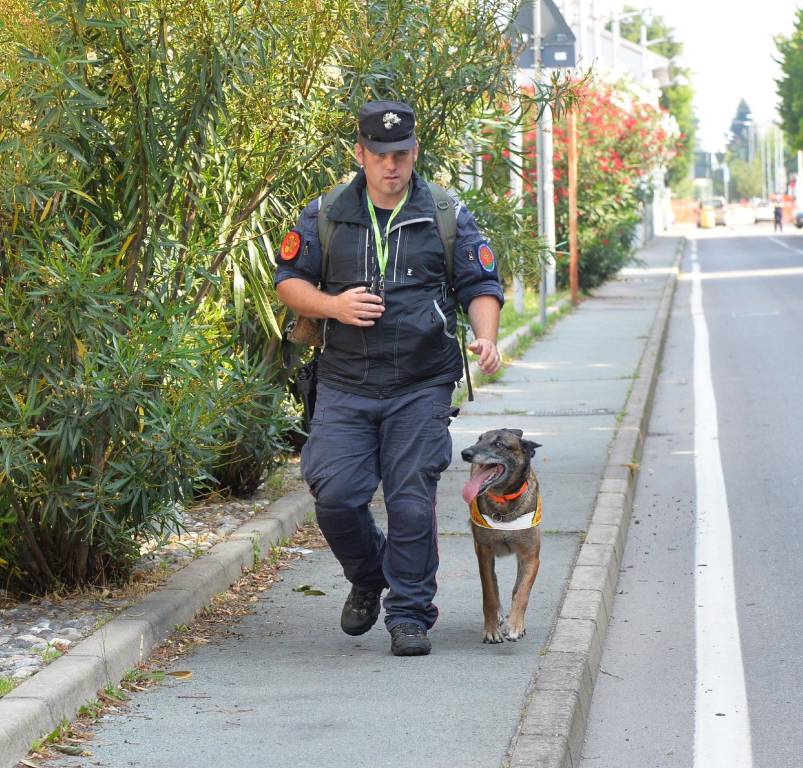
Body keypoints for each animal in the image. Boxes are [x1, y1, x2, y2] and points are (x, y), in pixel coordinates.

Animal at [462, 432, 544, 640]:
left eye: (499, 444)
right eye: (479, 439)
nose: (465, 453)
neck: (504, 501)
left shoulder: (530, 557)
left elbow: (521, 592)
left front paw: (515, 625)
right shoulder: (484, 553)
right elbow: (489, 594)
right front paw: (491, 629)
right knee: (493, 580)